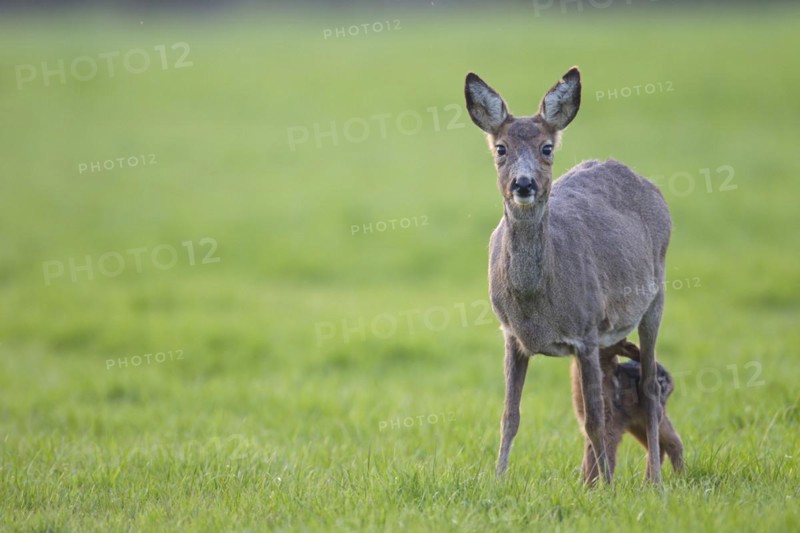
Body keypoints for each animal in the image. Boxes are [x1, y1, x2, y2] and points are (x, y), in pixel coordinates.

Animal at [464, 67, 672, 484]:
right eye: (501, 149)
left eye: (547, 148)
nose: (523, 184)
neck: (536, 305)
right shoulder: (511, 334)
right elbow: (509, 416)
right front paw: (498, 480)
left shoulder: (585, 332)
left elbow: (594, 420)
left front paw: (609, 488)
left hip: (655, 297)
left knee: (648, 386)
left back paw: (654, 481)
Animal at [571, 339, 684, 483]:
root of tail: (670, 380)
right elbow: (590, 456)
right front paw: (584, 485)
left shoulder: (611, 422)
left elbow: (604, 455)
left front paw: (598, 486)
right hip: (637, 423)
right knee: (664, 444)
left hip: (651, 415)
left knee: (672, 442)